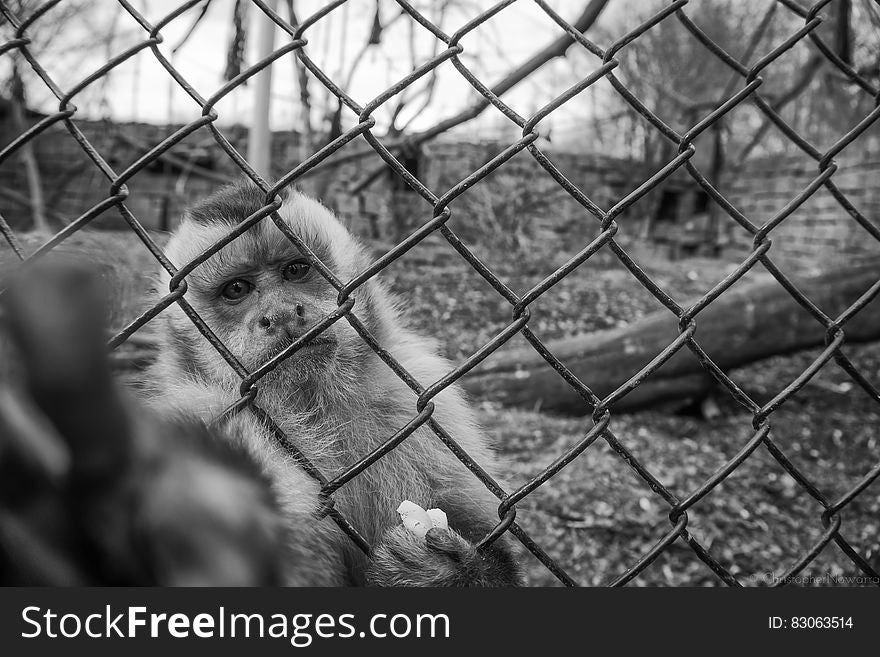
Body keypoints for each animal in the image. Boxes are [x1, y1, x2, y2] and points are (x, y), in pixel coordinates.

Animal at [145, 182, 524, 588]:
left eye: (295, 269)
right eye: (236, 289)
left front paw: (443, 573)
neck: (313, 404)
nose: (281, 314)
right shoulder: (201, 408)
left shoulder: (414, 393)